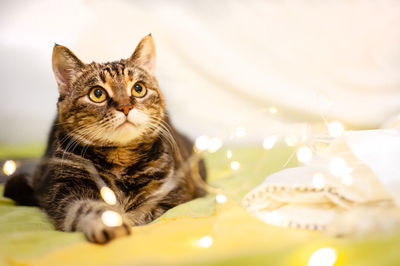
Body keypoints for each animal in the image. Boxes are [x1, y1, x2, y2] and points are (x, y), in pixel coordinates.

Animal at [3, 34, 206, 243]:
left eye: (138, 88)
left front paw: (129, 217)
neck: (121, 158)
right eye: (97, 93)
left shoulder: (176, 193)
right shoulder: (62, 190)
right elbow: (83, 208)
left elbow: (148, 212)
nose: (125, 106)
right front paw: (109, 222)